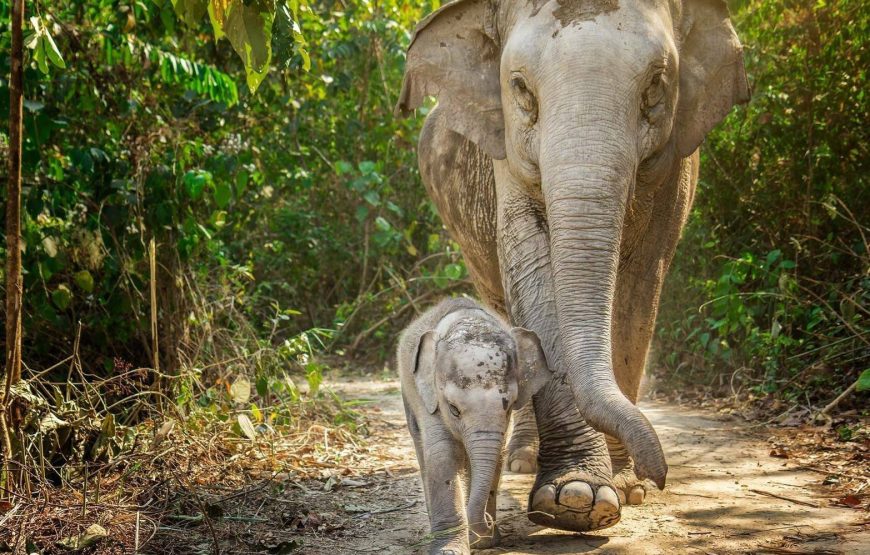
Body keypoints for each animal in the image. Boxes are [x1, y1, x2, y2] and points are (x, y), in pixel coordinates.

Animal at [400, 298, 556, 552]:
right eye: (453, 409)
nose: (490, 522)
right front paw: (448, 550)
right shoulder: (430, 400)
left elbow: (497, 455)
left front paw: (483, 542)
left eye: (509, 406)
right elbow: (443, 453)